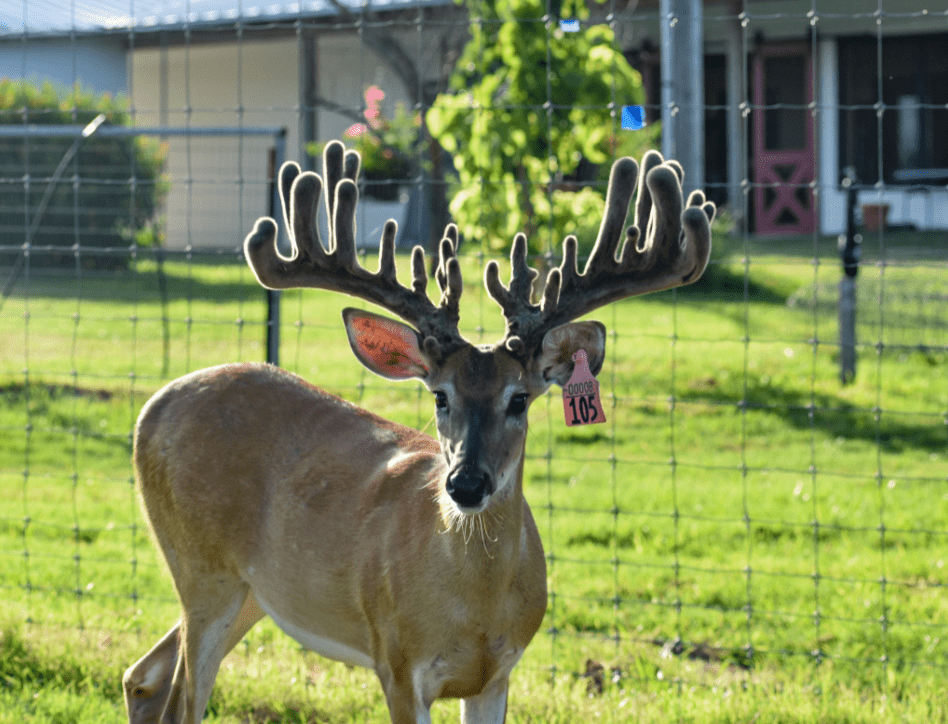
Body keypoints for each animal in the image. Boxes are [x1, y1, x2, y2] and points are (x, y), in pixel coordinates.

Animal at [122, 139, 714, 724]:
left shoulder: (498, 675)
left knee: (144, 675)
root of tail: (152, 407)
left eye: (519, 398)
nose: (466, 484)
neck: (474, 609)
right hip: (201, 567)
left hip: (253, 589)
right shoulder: (398, 661)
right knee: (180, 698)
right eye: (440, 396)